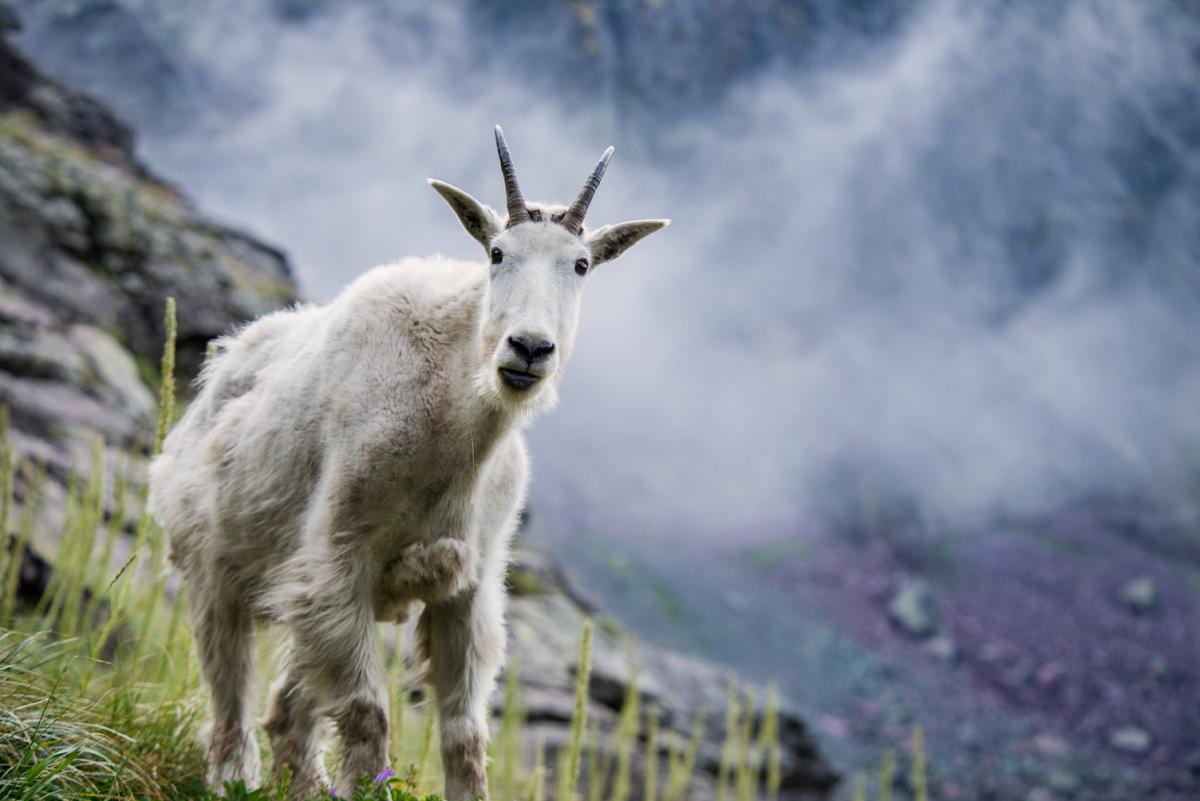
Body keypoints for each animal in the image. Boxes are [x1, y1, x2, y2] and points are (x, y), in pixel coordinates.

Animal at [146, 128, 672, 796]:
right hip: (215, 565)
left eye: (581, 265)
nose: (528, 349)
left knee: (288, 711)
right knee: (231, 697)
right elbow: (368, 716)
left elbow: (465, 737)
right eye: (496, 253)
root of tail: (221, 366)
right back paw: (234, 777)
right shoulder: (339, 558)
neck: (453, 429)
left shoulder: (467, 587)